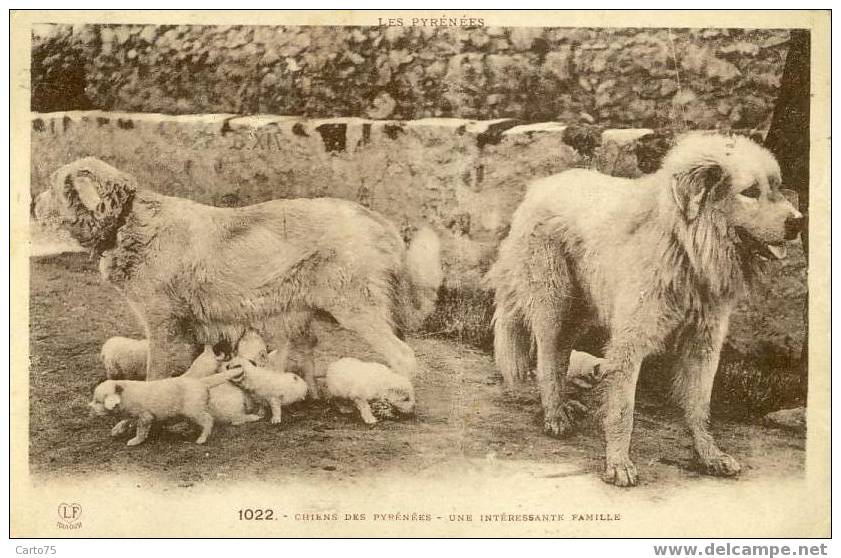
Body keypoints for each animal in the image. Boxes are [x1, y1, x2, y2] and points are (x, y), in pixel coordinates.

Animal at [89, 372, 240, 446]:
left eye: (98, 401)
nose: (89, 407)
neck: (125, 393)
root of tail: (200, 382)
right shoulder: (133, 414)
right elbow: (125, 421)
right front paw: (116, 430)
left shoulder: (145, 417)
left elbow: (141, 431)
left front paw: (135, 441)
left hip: (194, 410)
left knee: (208, 420)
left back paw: (202, 438)